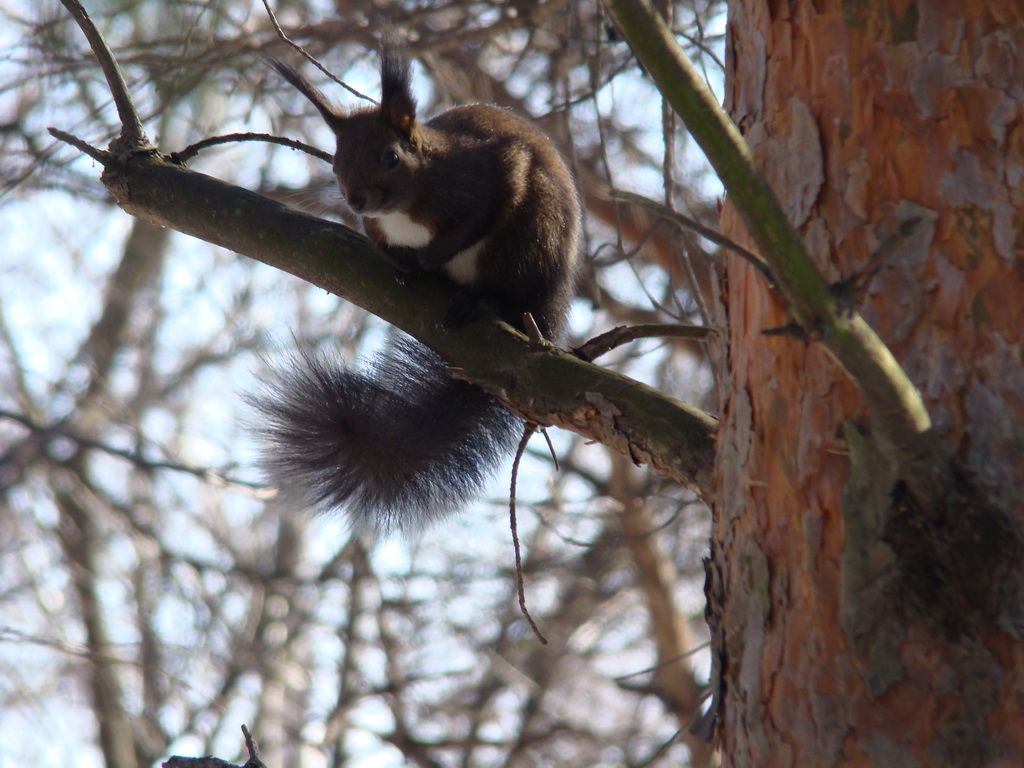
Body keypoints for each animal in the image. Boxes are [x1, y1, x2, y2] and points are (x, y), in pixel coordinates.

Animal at [251, 43, 581, 536]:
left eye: (391, 158)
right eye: (336, 159)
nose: (356, 200)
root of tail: (551, 314)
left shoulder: (491, 172)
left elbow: (483, 210)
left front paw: (428, 258)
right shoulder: (375, 229)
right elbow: (386, 247)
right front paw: (406, 266)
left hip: (528, 240)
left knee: (511, 294)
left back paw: (481, 301)